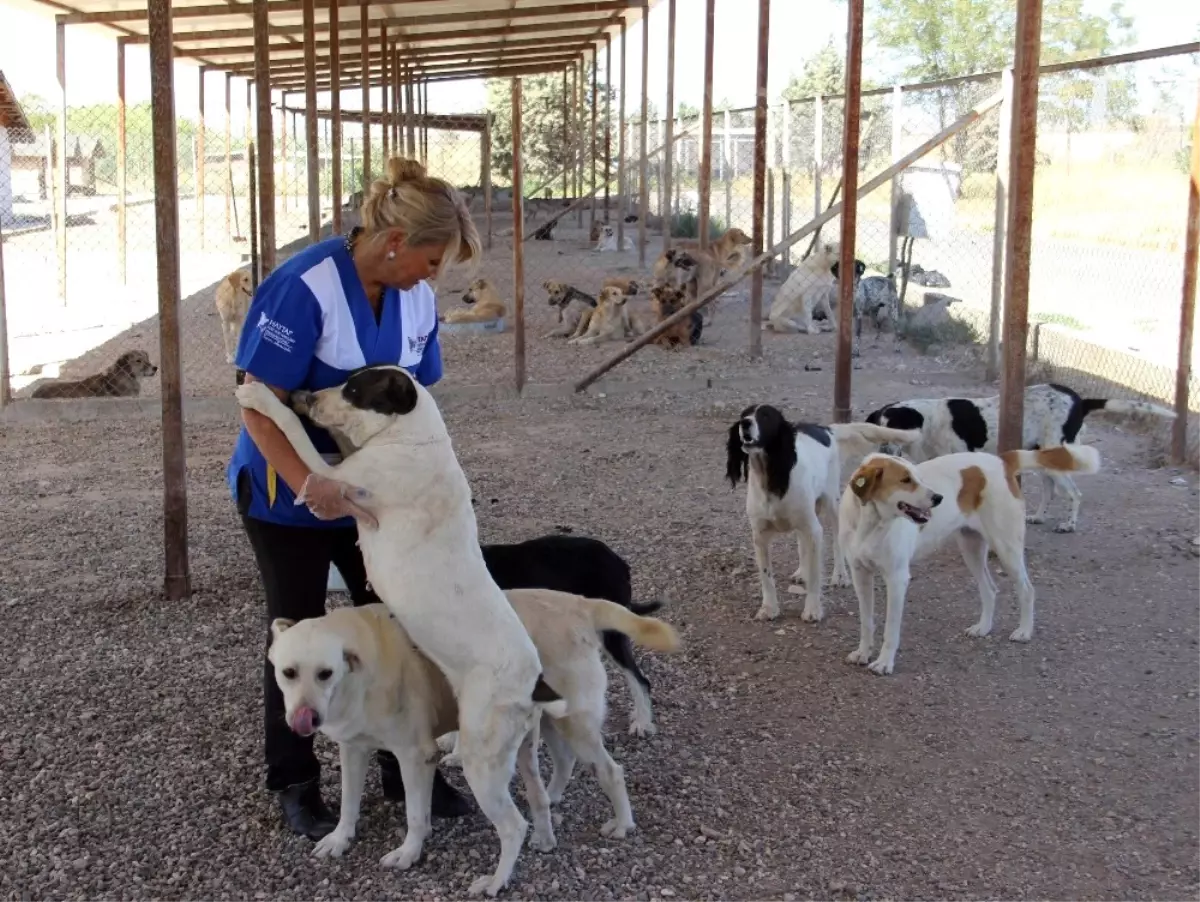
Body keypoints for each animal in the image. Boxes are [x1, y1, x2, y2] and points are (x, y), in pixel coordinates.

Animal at [240, 369, 571, 897]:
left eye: (356, 390)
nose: (303, 393)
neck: (415, 436)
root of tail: (533, 677)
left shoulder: (335, 476)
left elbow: (294, 433)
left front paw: (261, 399)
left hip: (481, 759)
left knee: (511, 824)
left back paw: (495, 881)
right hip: (518, 753)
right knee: (537, 800)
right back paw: (542, 841)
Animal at [270, 592, 676, 873]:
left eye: (325, 673)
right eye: (288, 673)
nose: (305, 718)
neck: (358, 671)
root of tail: (577, 603)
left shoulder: (415, 755)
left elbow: (416, 814)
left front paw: (409, 853)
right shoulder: (352, 749)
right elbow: (348, 803)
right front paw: (339, 839)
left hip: (573, 721)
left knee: (611, 770)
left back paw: (622, 824)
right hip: (547, 720)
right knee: (564, 760)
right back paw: (552, 798)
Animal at [724, 403, 921, 623]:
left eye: (766, 416)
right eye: (744, 414)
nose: (744, 423)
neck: (772, 477)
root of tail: (827, 429)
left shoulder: (814, 530)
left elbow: (815, 575)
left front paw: (813, 609)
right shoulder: (760, 535)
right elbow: (767, 576)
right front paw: (769, 608)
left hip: (832, 503)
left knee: (836, 541)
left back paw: (840, 575)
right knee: (802, 543)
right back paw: (802, 571)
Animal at [868, 381, 1176, 534]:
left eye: (894, 430)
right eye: (878, 431)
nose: (881, 454)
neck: (930, 423)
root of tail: (1080, 400)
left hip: (1057, 458)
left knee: (1074, 494)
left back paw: (1069, 525)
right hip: (1043, 460)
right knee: (1050, 491)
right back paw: (1038, 517)